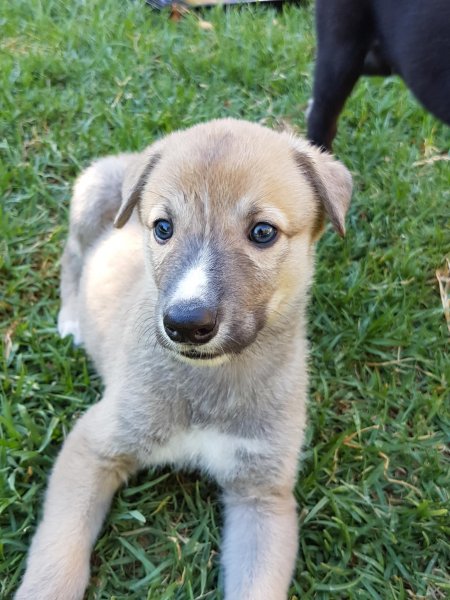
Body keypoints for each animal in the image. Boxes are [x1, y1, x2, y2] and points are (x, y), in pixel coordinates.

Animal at [14, 119, 352, 596]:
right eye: (162, 227)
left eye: (262, 232)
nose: (186, 324)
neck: (209, 383)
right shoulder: (94, 444)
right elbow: (57, 557)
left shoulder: (263, 493)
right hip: (91, 195)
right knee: (73, 254)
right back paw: (71, 318)